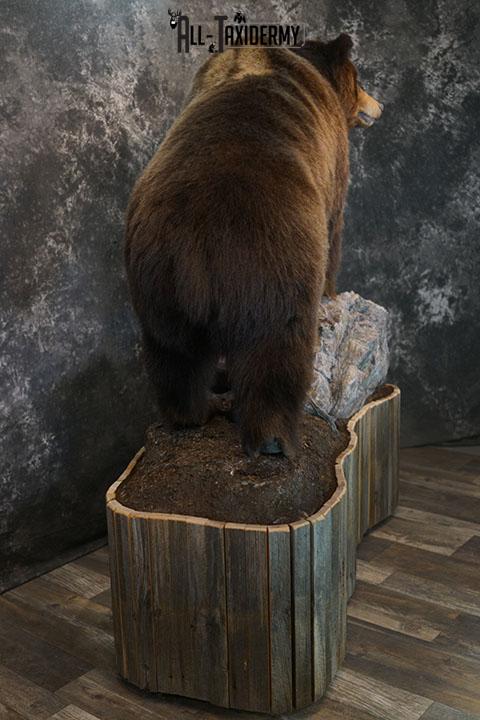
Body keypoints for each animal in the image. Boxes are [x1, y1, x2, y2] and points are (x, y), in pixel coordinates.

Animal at [125, 35, 383, 457]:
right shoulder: (332, 160)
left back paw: (191, 414)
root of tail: (197, 241)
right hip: (273, 256)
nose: (377, 105)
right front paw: (331, 295)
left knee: (173, 355)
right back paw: (275, 438)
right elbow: (335, 225)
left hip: (155, 275)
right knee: (276, 347)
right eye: (360, 80)